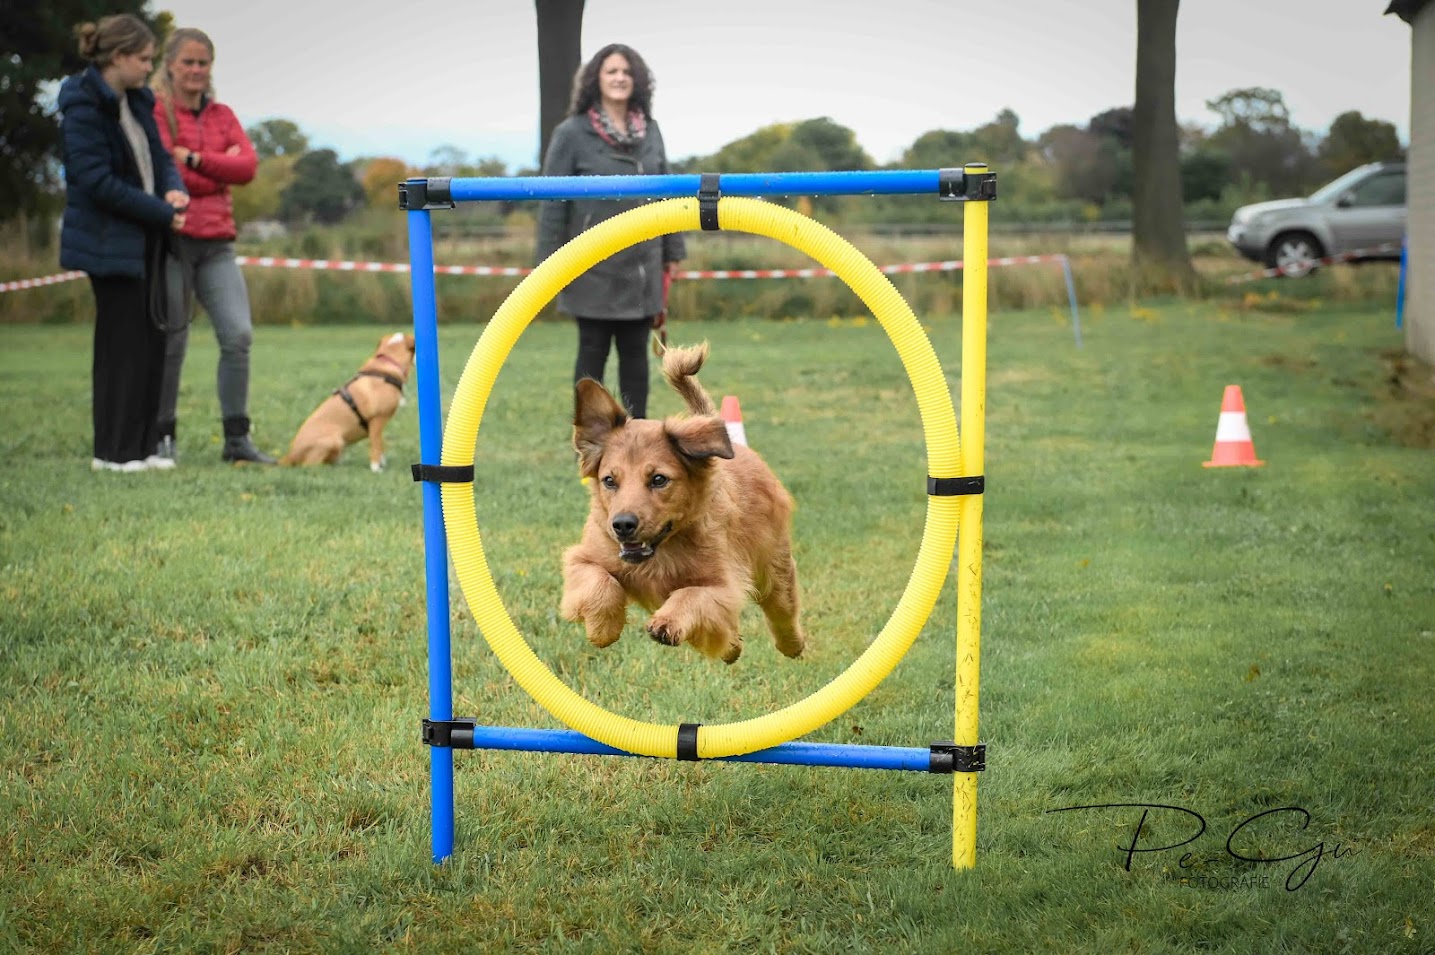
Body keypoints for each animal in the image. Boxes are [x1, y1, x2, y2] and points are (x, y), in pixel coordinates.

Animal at [279, 332, 416, 470]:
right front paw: (376, 468)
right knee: (310, 465)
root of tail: (289, 456)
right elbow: (376, 446)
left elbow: (380, 446)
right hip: (335, 441)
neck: (387, 363)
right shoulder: (377, 420)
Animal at [559, 342, 809, 662]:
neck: (660, 552)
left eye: (658, 479)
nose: (623, 525)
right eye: (609, 480)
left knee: (782, 609)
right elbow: (600, 582)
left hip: (773, 567)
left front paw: (667, 622)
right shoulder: (583, 558)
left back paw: (791, 644)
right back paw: (732, 649)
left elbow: (691, 594)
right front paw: (604, 629)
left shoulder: (722, 584)